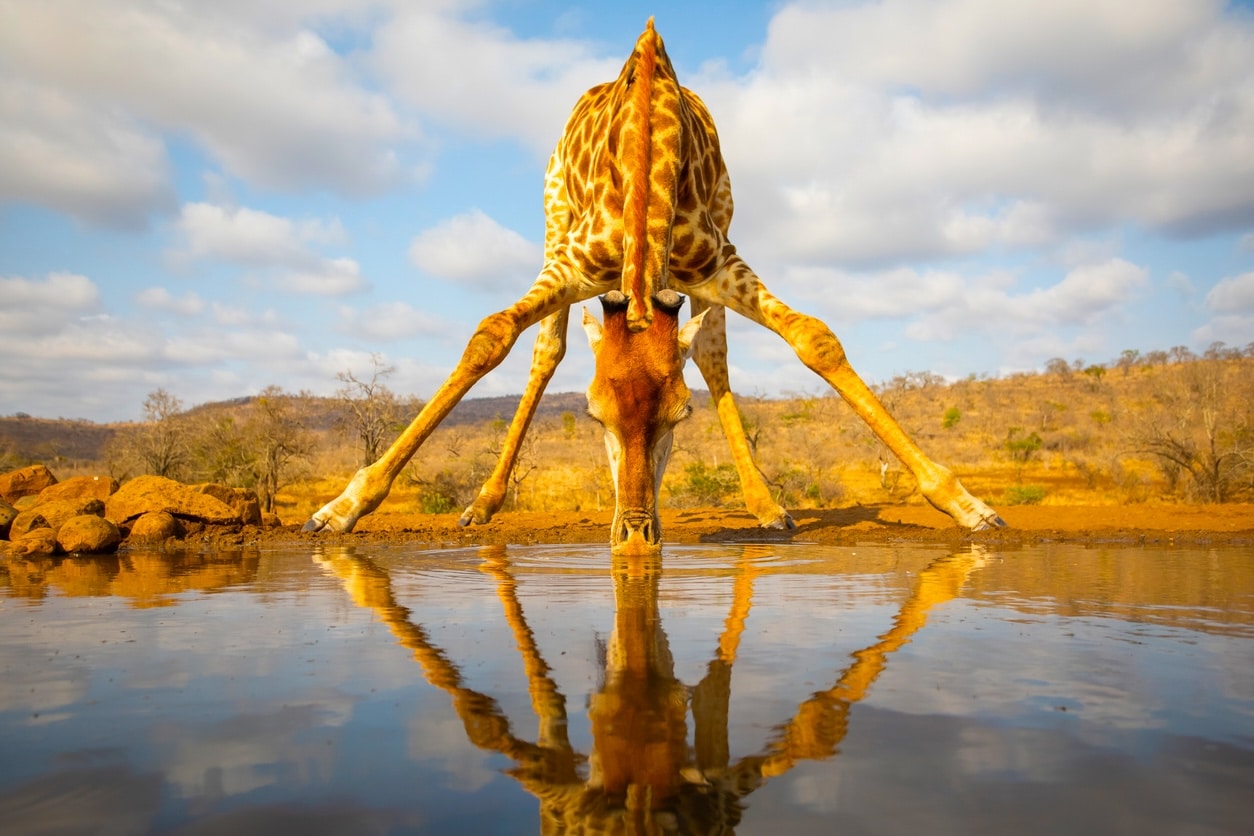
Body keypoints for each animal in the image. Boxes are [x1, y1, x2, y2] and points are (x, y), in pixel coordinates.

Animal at [304, 19, 1005, 550]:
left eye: (680, 415)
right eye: (593, 413)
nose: (636, 536)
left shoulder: (718, 261)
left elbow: (813, 339)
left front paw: (966, 504)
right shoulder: (574, 265)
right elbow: (492, 337)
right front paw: (343, 507)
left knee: (714, 356)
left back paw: (765, 505)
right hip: (552, 225)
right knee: (545, 352)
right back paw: (482, 503)